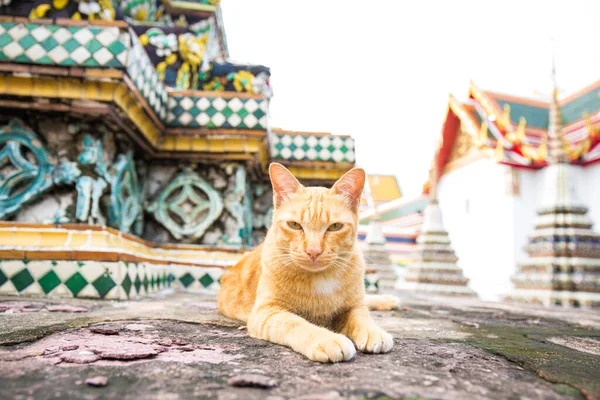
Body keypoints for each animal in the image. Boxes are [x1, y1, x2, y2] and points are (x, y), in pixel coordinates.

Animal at [217, 162, 398, 362]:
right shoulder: (267, 311)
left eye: (335, 227)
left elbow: (362, 317)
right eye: (294, 225)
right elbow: (296, 323)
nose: (313, 250)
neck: (320, 278)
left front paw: (373, 331)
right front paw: (326, 339)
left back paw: (387, 300)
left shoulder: (353, 307)